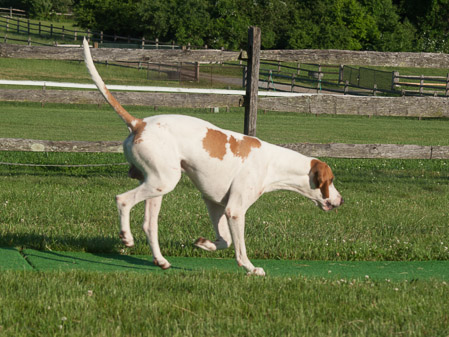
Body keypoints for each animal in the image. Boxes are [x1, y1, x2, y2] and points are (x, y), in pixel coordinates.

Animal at [83, 38, 344, 274]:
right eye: (330, 181)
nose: (341, 200)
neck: (273, 163)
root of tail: (139, 123)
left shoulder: (215, 204)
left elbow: (225, 241)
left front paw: (205, 244)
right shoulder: (235, 211)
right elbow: (239, 248)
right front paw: (250, 268)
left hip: (157, 187)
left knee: (149, 225)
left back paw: (161, 260)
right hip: (164, 181)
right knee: (122, 200)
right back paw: (126, 236)